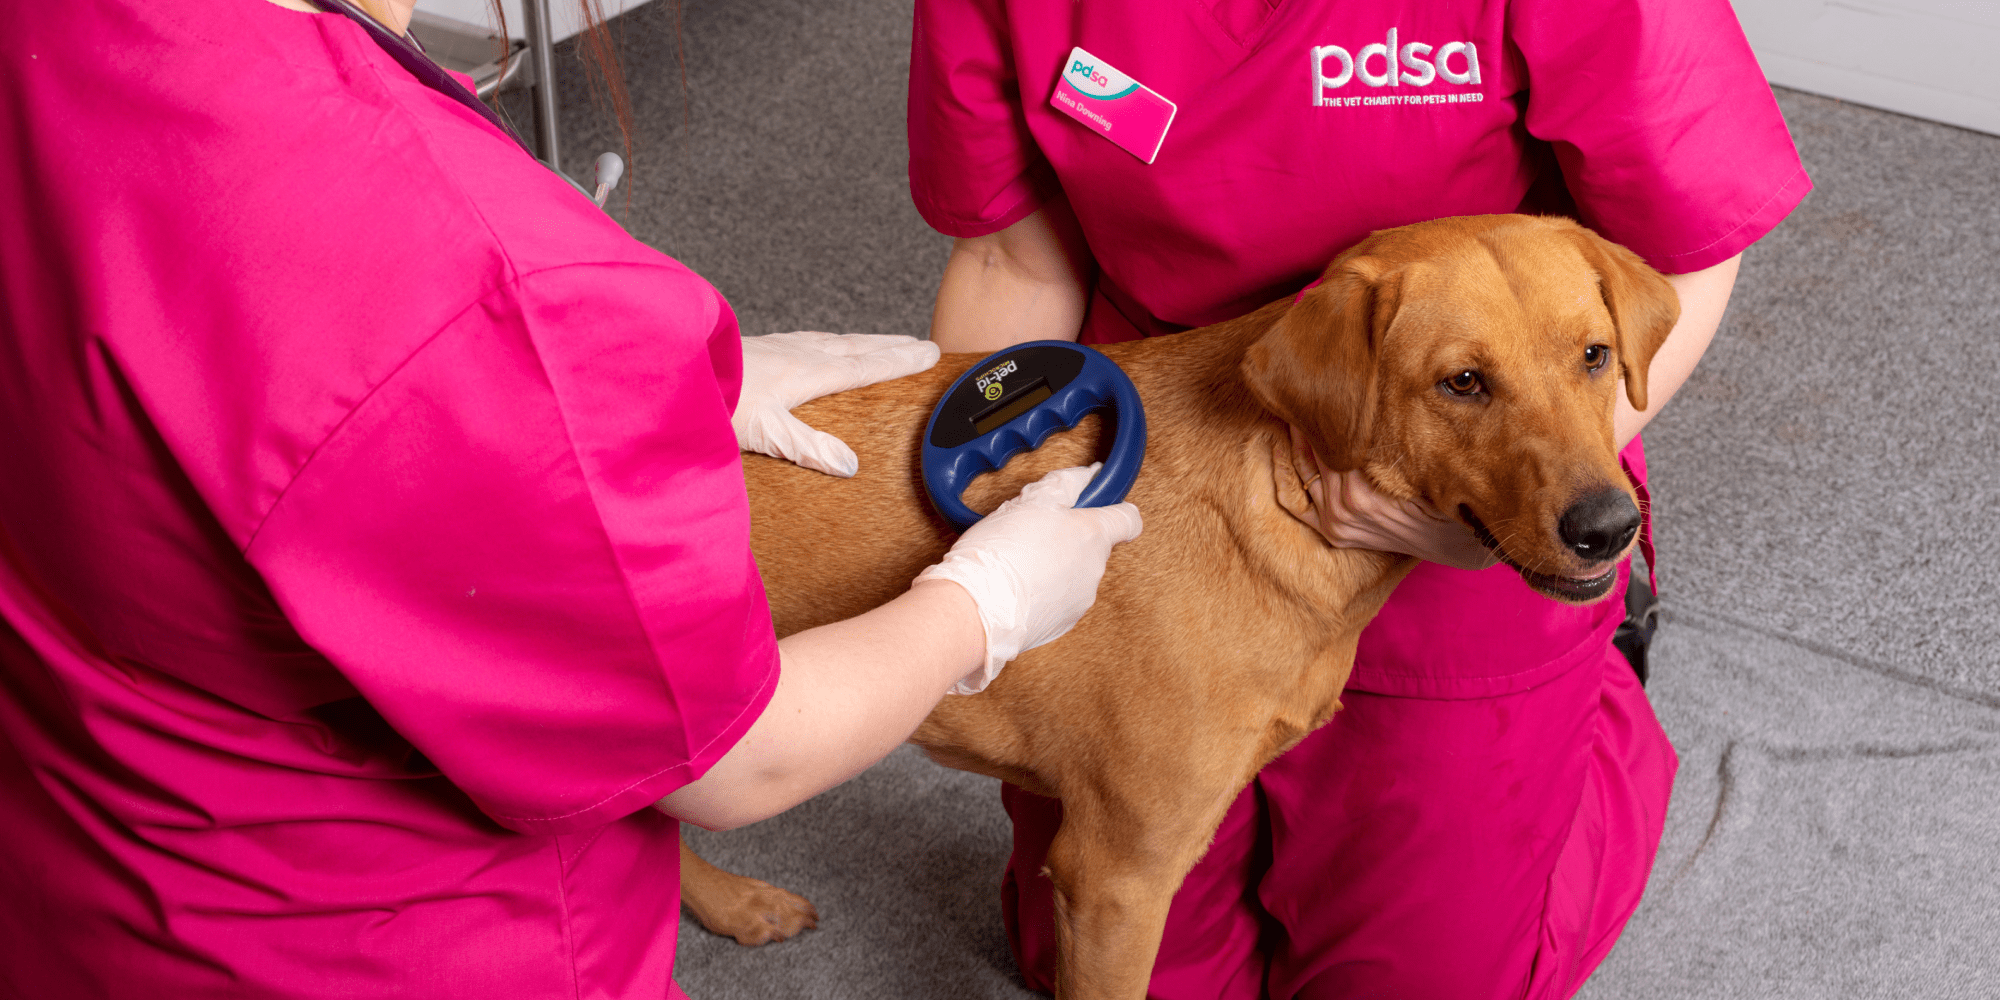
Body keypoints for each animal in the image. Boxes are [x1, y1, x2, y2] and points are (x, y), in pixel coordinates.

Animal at [680, 215, 1680, 996]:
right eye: (1462, 383)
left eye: (1594, 356)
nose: (1608, 528)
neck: (1276, 486)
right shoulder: (1114, 881)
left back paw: (733, 904)